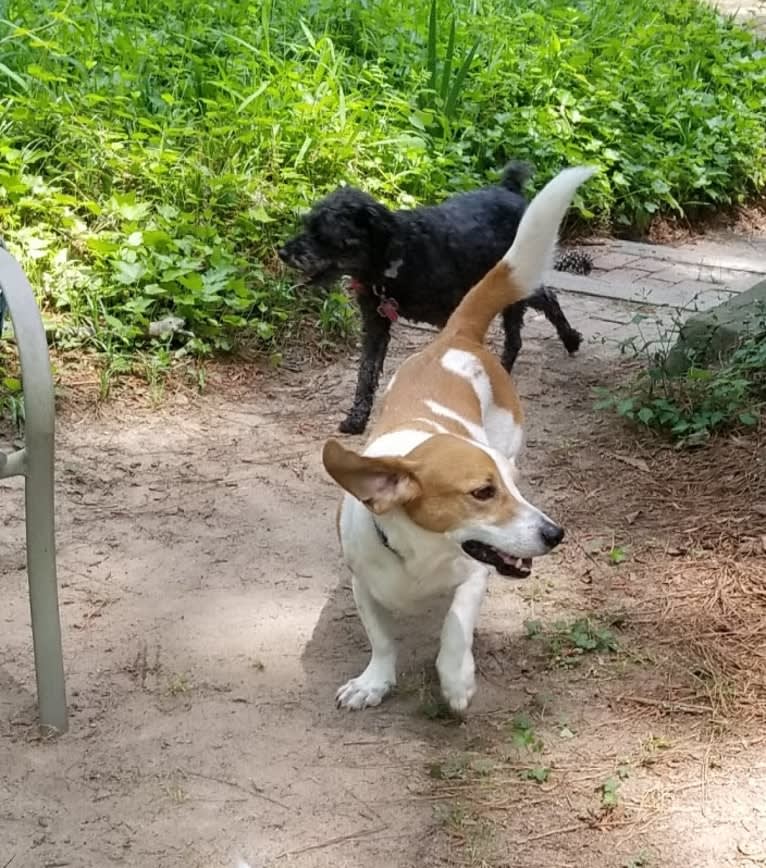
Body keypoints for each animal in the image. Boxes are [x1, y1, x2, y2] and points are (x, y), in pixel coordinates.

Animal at [280, 162, 592, 434]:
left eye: (322, 234)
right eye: (306, 224)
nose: (282, 252)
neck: (397, 258)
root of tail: (509, 189)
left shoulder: (449, 315)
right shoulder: (375, 324)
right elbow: (366, 373)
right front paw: (356, 419)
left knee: (545, 300)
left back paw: (569, 339)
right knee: (517, 333)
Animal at [320, 166, 596, 716]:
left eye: (512, 487)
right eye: (482, 493)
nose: (555, 534)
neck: (418, 553)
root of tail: (456, 337)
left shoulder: (473, 576)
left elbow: (455, 624)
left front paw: (455, 679)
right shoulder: (364, 584)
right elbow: (381, 638)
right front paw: (374, 681)